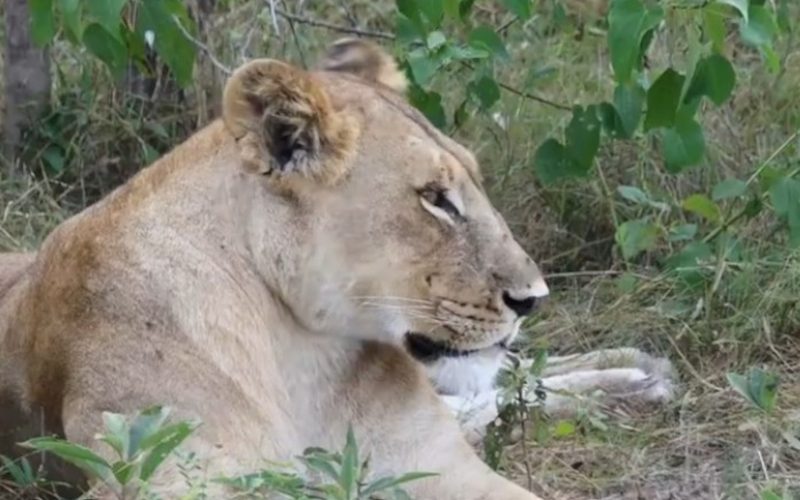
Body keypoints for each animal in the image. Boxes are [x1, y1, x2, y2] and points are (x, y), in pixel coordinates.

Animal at [0, 39, 676, 500]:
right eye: (435, 198)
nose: (533, 298)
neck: (299, 355)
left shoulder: (436, 462)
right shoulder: (176, 471)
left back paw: (640, 373)